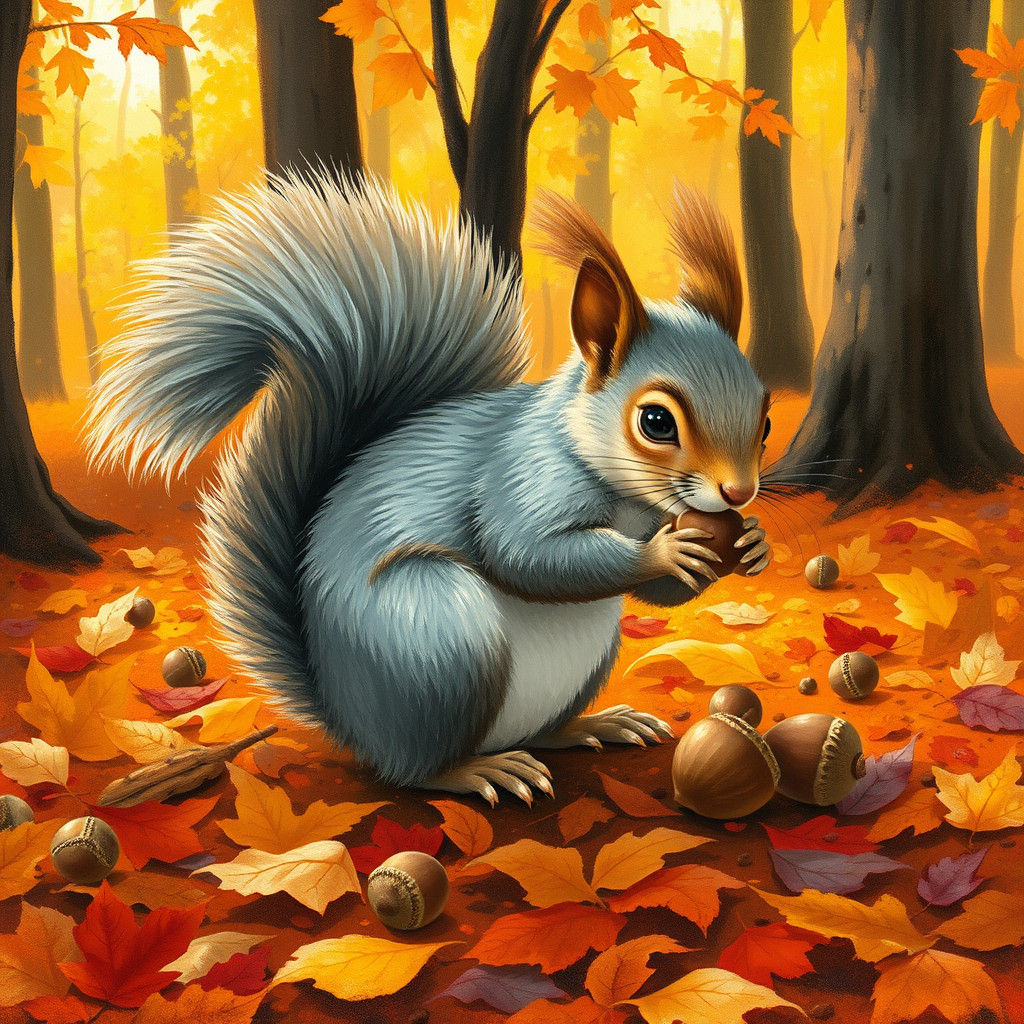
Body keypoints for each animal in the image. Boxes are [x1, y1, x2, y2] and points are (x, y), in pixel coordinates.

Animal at [86, 172, 772, 806]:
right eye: (655, 422)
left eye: (764, 418)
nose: (739, 494)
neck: (631, 499)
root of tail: (350, 720)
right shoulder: (518, 473)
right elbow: (527, 553)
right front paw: (666, 550)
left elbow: (658, 595)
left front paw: (750, 545)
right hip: (440, 636)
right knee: (416, 770)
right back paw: (476, 771)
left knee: (538, 731)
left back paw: (590, 726)